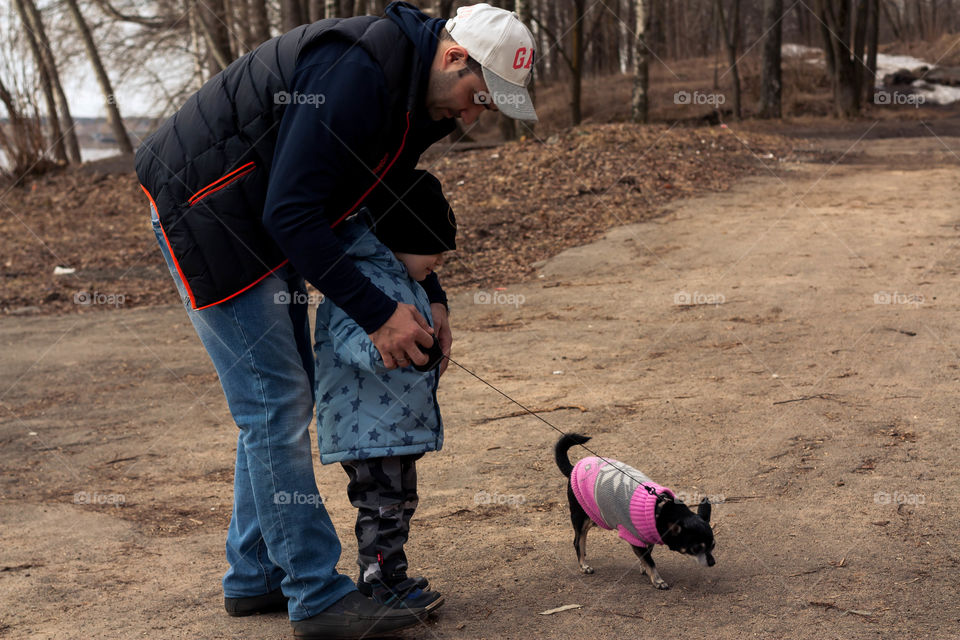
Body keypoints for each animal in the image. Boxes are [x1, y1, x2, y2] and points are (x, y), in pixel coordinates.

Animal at [556, 430, 712, 592]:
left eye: (713, 545)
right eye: (696, 549)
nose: (712, 562)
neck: (660, 509)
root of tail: (573, 468)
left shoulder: (648, 537)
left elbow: (648, 554)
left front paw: (644, 568)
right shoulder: (634, 539)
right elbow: (650, 561)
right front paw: (657, 580)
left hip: (593, 515)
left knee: (583, 535)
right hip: (580, 516)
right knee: (576, 540)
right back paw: (583, 565)